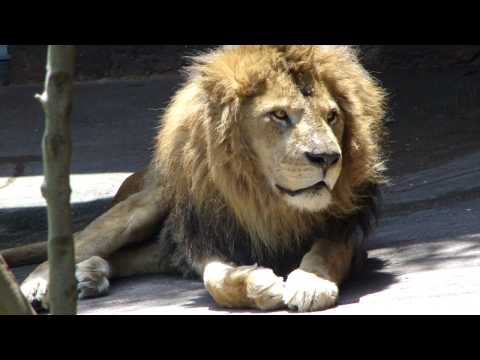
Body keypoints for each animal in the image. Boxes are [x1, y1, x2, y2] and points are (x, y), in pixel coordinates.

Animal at [16, 45, 388, 312]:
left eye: (332, 116)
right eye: (280, 115)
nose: (328, 158)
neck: (269, 203)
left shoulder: (347, 232)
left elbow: (326, 251)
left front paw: (311, 282)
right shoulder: (207, 238)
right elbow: (215, 281)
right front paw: (258, 284)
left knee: (135, 256)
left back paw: (88, 275)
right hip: (141, 210)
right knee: (81, 242)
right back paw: (41, 285)